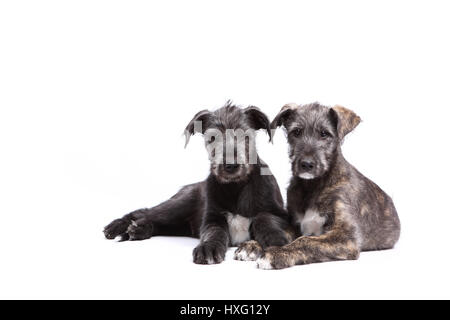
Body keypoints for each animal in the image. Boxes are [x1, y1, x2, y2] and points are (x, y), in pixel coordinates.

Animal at [103, 101, 292, 264]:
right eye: (212, 138)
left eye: (246, 136)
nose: (230, 165)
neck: (235, 187)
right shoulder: (212, 218)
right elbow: (214, 232)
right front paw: (208, 248)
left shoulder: (280, 213)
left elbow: (263, 217)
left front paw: (274, 238)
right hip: (180, 204)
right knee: (146, 212)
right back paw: (118, 226)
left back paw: (138, 229)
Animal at [239, 103, 400, 270]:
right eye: (296, 132)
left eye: (324, 134)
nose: (306, 164)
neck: (312, 186)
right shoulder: (296, 225)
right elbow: (279, 233)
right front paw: (252, 245)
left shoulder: (346, 237)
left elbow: (306, 241)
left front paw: (277, 253)